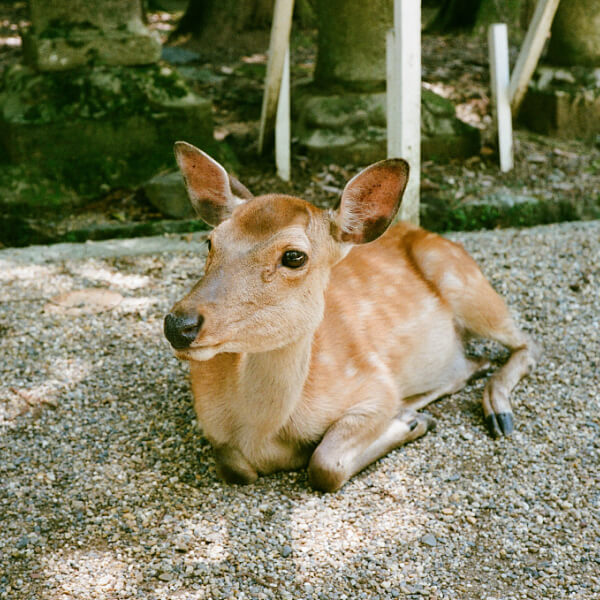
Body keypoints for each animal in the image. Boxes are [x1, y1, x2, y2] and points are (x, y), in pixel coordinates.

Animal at [163, 142, 540, 492]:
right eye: (210, 242)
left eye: (294, 256)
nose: (178, 325)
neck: (262, 435)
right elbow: (234, 467)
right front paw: (410, 419)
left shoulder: (375, 385)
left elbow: (325, 465)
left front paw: (407, 424)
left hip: (466, 284)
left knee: (526, 344)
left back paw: (496, 412)